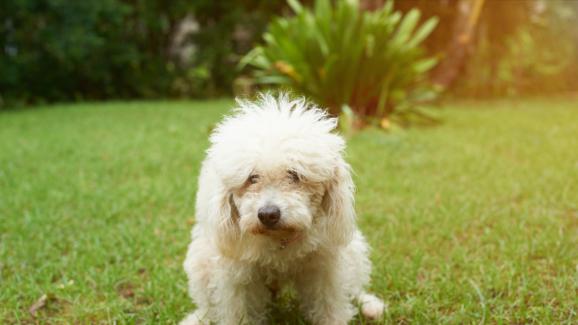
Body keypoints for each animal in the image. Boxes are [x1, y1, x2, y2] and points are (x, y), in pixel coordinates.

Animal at [181, 92, 382, 322]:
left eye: (294, 175)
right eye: (252, 178)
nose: (268, 215)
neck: (279, 241)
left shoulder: (325, 267)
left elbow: (330, 307)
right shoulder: (236, 274)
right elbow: (237, 312)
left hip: (353, 249)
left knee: (355, 288)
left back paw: (370, 305)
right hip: (200, 260)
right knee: (207, 306)